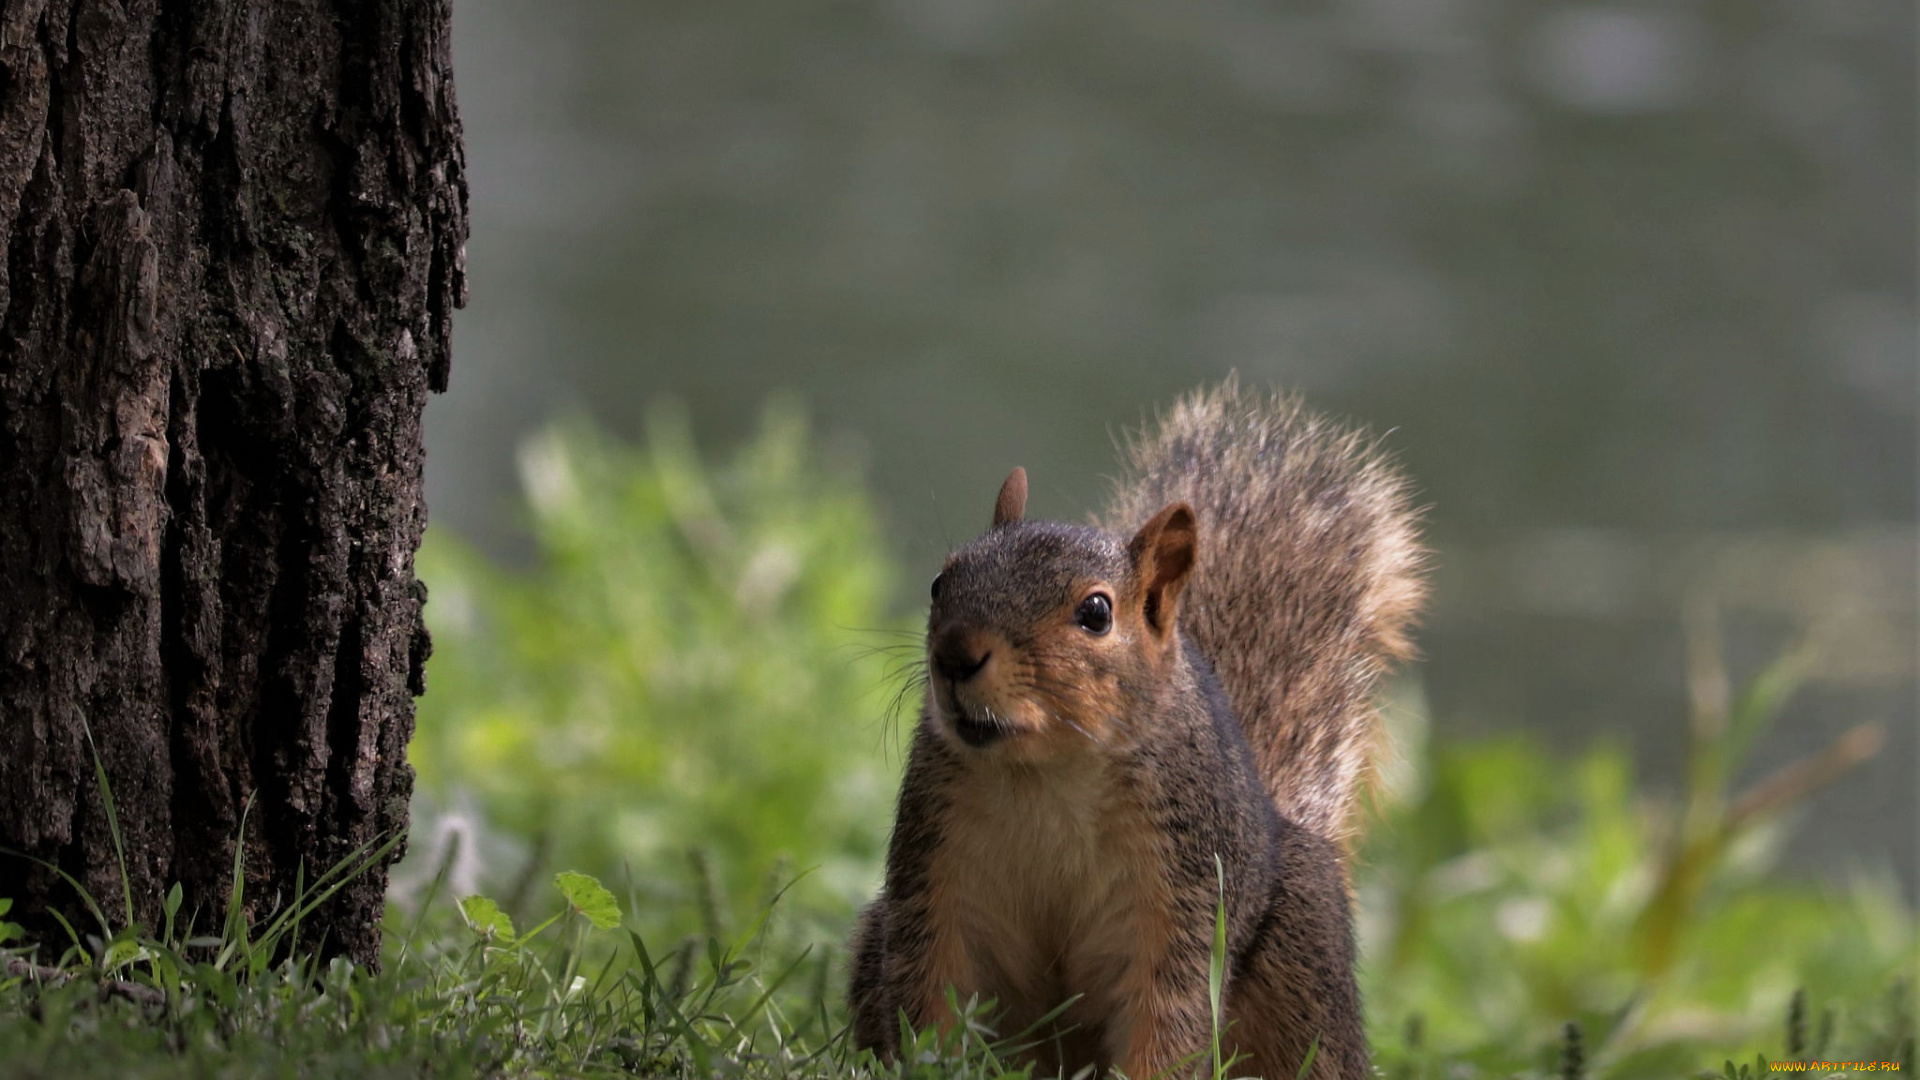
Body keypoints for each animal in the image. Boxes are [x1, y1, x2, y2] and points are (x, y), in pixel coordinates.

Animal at [852, 378, 1428, 1076]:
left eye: (1096, 613)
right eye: (940, 583)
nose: (955, 655)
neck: (1047, 773)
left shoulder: (1187, 891)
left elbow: (1170, 1011)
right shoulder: (936, 873)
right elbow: (929, 985)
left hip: (1302, 964)